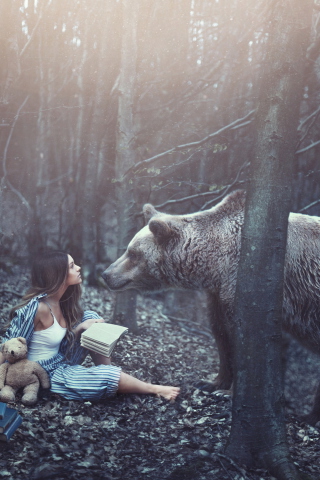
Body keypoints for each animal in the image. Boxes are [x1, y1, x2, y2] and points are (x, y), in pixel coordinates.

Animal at [102, 190, 320, 424]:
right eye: (128, 249)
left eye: (133, 253)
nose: (106, 274)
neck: (215, 263)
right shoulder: (218, 293)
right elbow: (221, 334)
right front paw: (210, 383)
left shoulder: (247, 285)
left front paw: (229, 393)